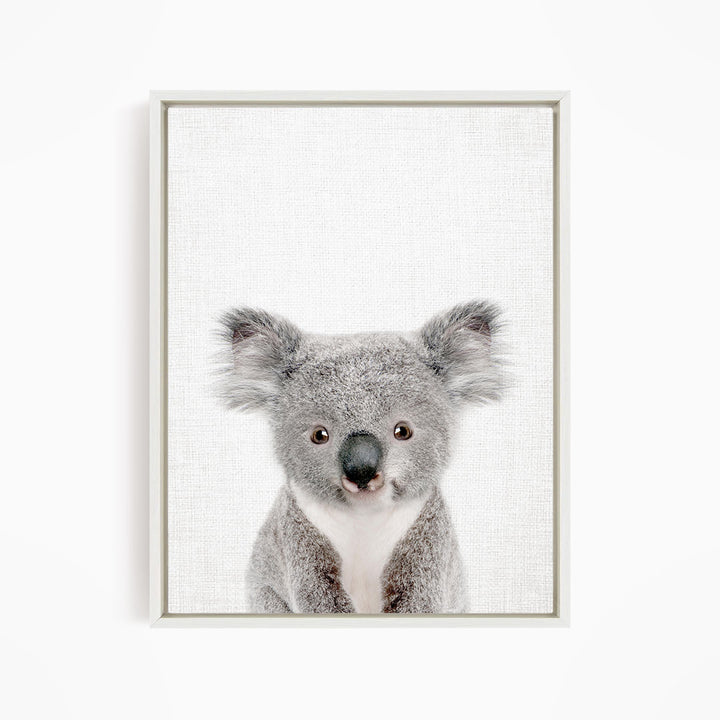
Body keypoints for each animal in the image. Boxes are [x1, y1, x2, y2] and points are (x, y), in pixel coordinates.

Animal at [217, 301, 504, 614]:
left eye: (403, 431)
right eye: (319, 435)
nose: (361, 470)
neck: (364, 518)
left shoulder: (428, 537)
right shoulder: (297, 536)